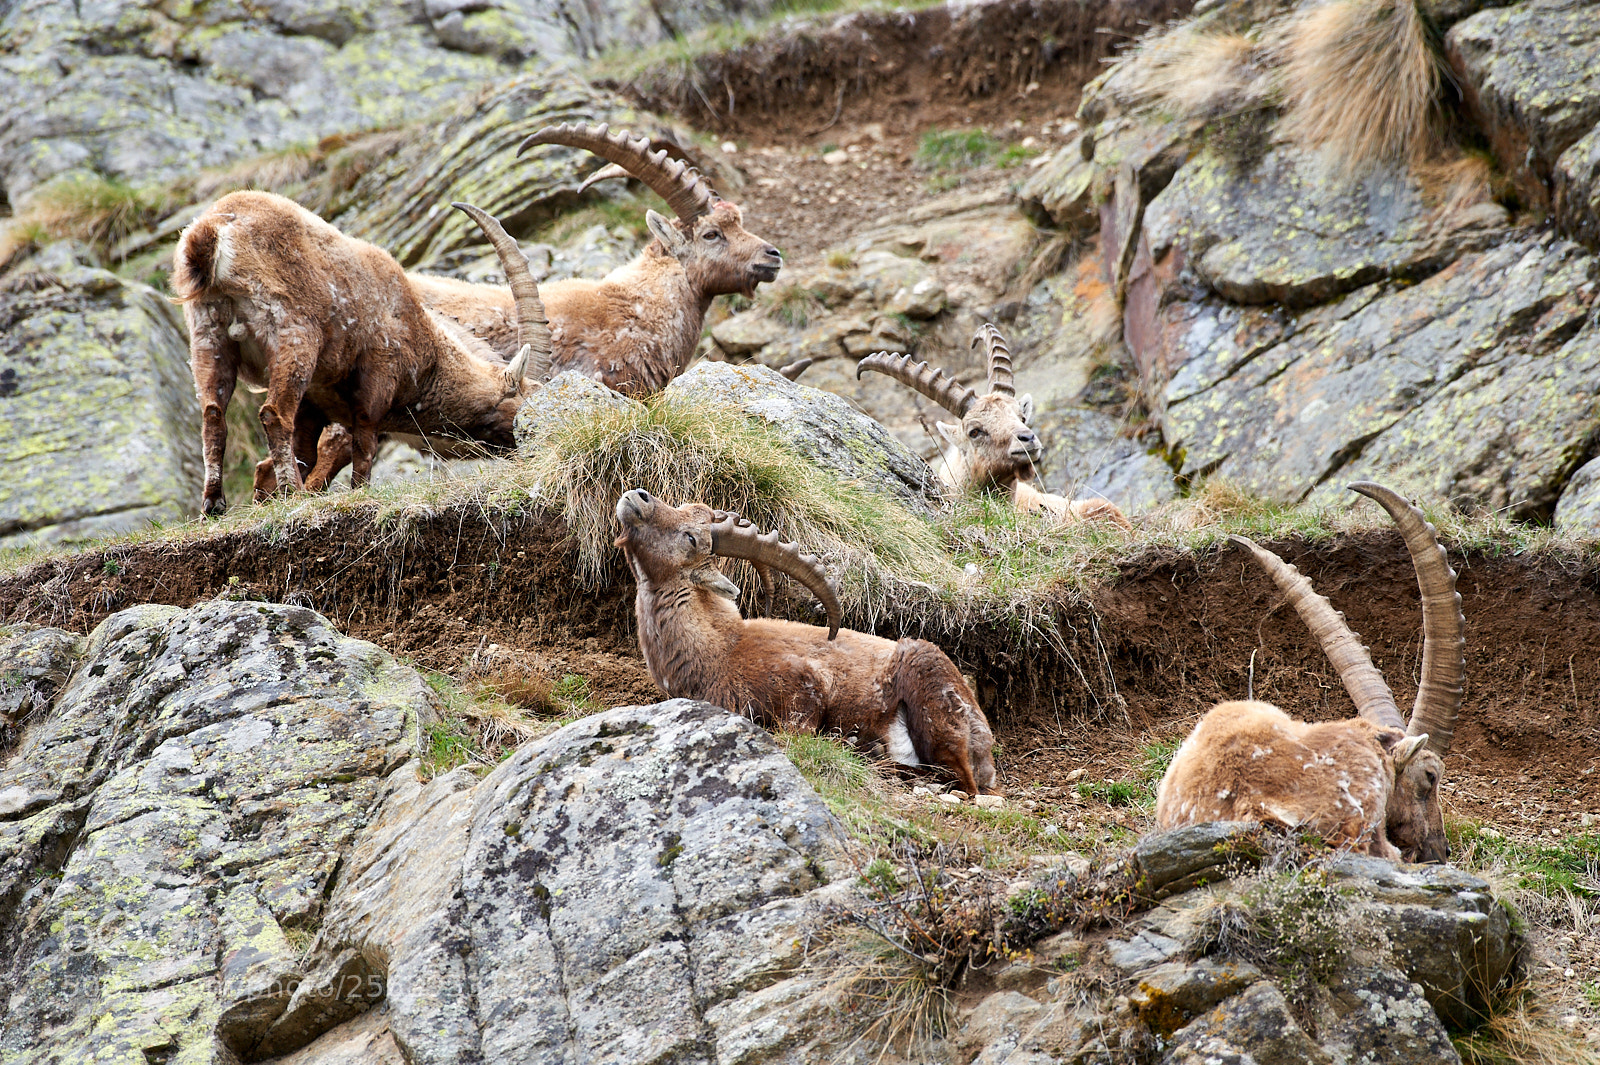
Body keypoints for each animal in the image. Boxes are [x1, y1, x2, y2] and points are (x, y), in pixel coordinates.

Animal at [173, 191, 549, 513]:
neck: (426, 350)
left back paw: (214, 504)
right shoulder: (379, 373)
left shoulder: (314, 404)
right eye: (524, 401)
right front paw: (359, 493)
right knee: (273, 414)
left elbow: (306, 452)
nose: (538, 445)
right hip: (292, 333)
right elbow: (364, 445)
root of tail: (210, 232)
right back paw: (293, 492)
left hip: (208, 334)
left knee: (212, 415)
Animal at [614, 489, 999, 796]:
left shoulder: (806, 685)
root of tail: (986, 741)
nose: (637, 495)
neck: (720, 647)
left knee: (960, 779)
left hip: (929, 688)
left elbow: (796, 730)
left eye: (691, 538)